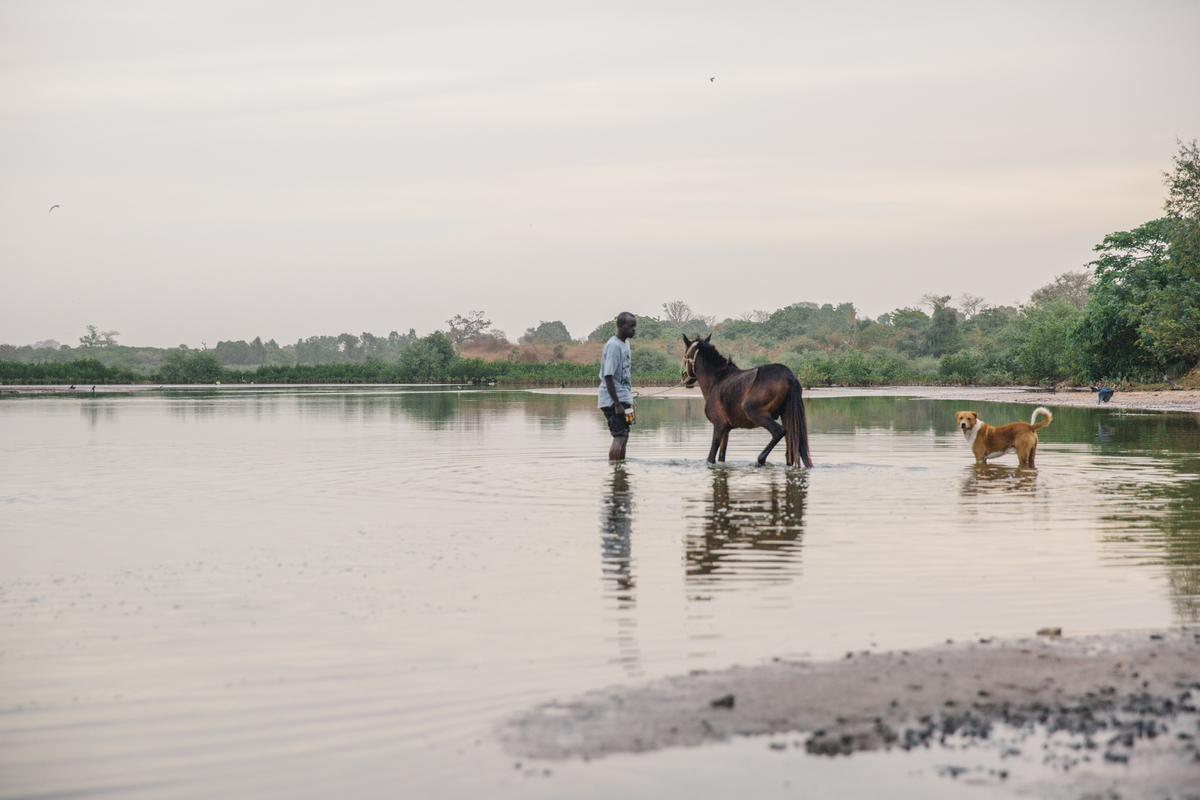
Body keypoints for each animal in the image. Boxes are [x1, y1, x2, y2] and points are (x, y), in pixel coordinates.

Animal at [681, 334, 813, 468]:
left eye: (685, 355)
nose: (684, 377)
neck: (717, 379)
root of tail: (789, 376)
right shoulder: (726, 429)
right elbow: (721, 457)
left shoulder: (719, 425)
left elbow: (711, 458)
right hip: (787, 417)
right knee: (789, 450)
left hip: (754, 411)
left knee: (778, 432)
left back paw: (761, 459)